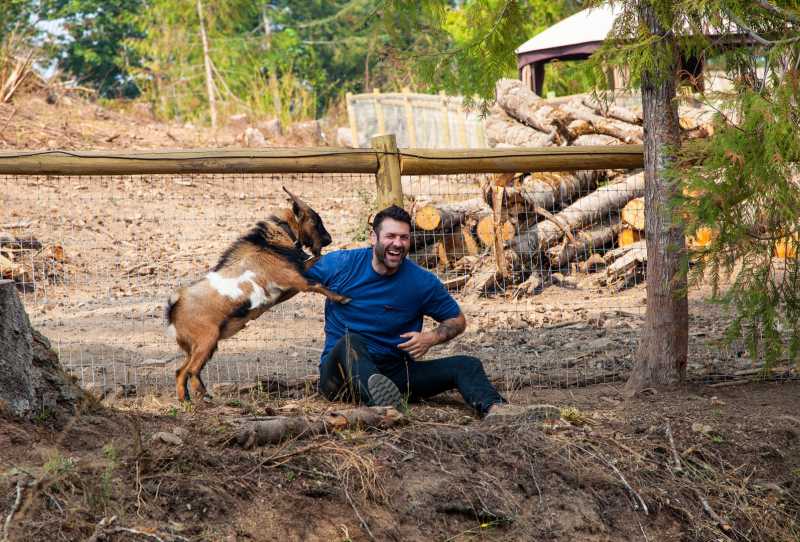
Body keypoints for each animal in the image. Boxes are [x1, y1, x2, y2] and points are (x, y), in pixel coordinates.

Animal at [165, 188, 346, 404]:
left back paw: (188, 400)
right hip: (206, 341)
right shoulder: (293, 278)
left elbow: (315, 263)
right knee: (191, 370)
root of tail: (175, 306)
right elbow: (316, 281)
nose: (329, 239)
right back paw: (201, 396)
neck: (269, 245)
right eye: (315, 220)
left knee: (181, 371)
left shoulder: (290, 287)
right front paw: (342, 298)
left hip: (198, 347)